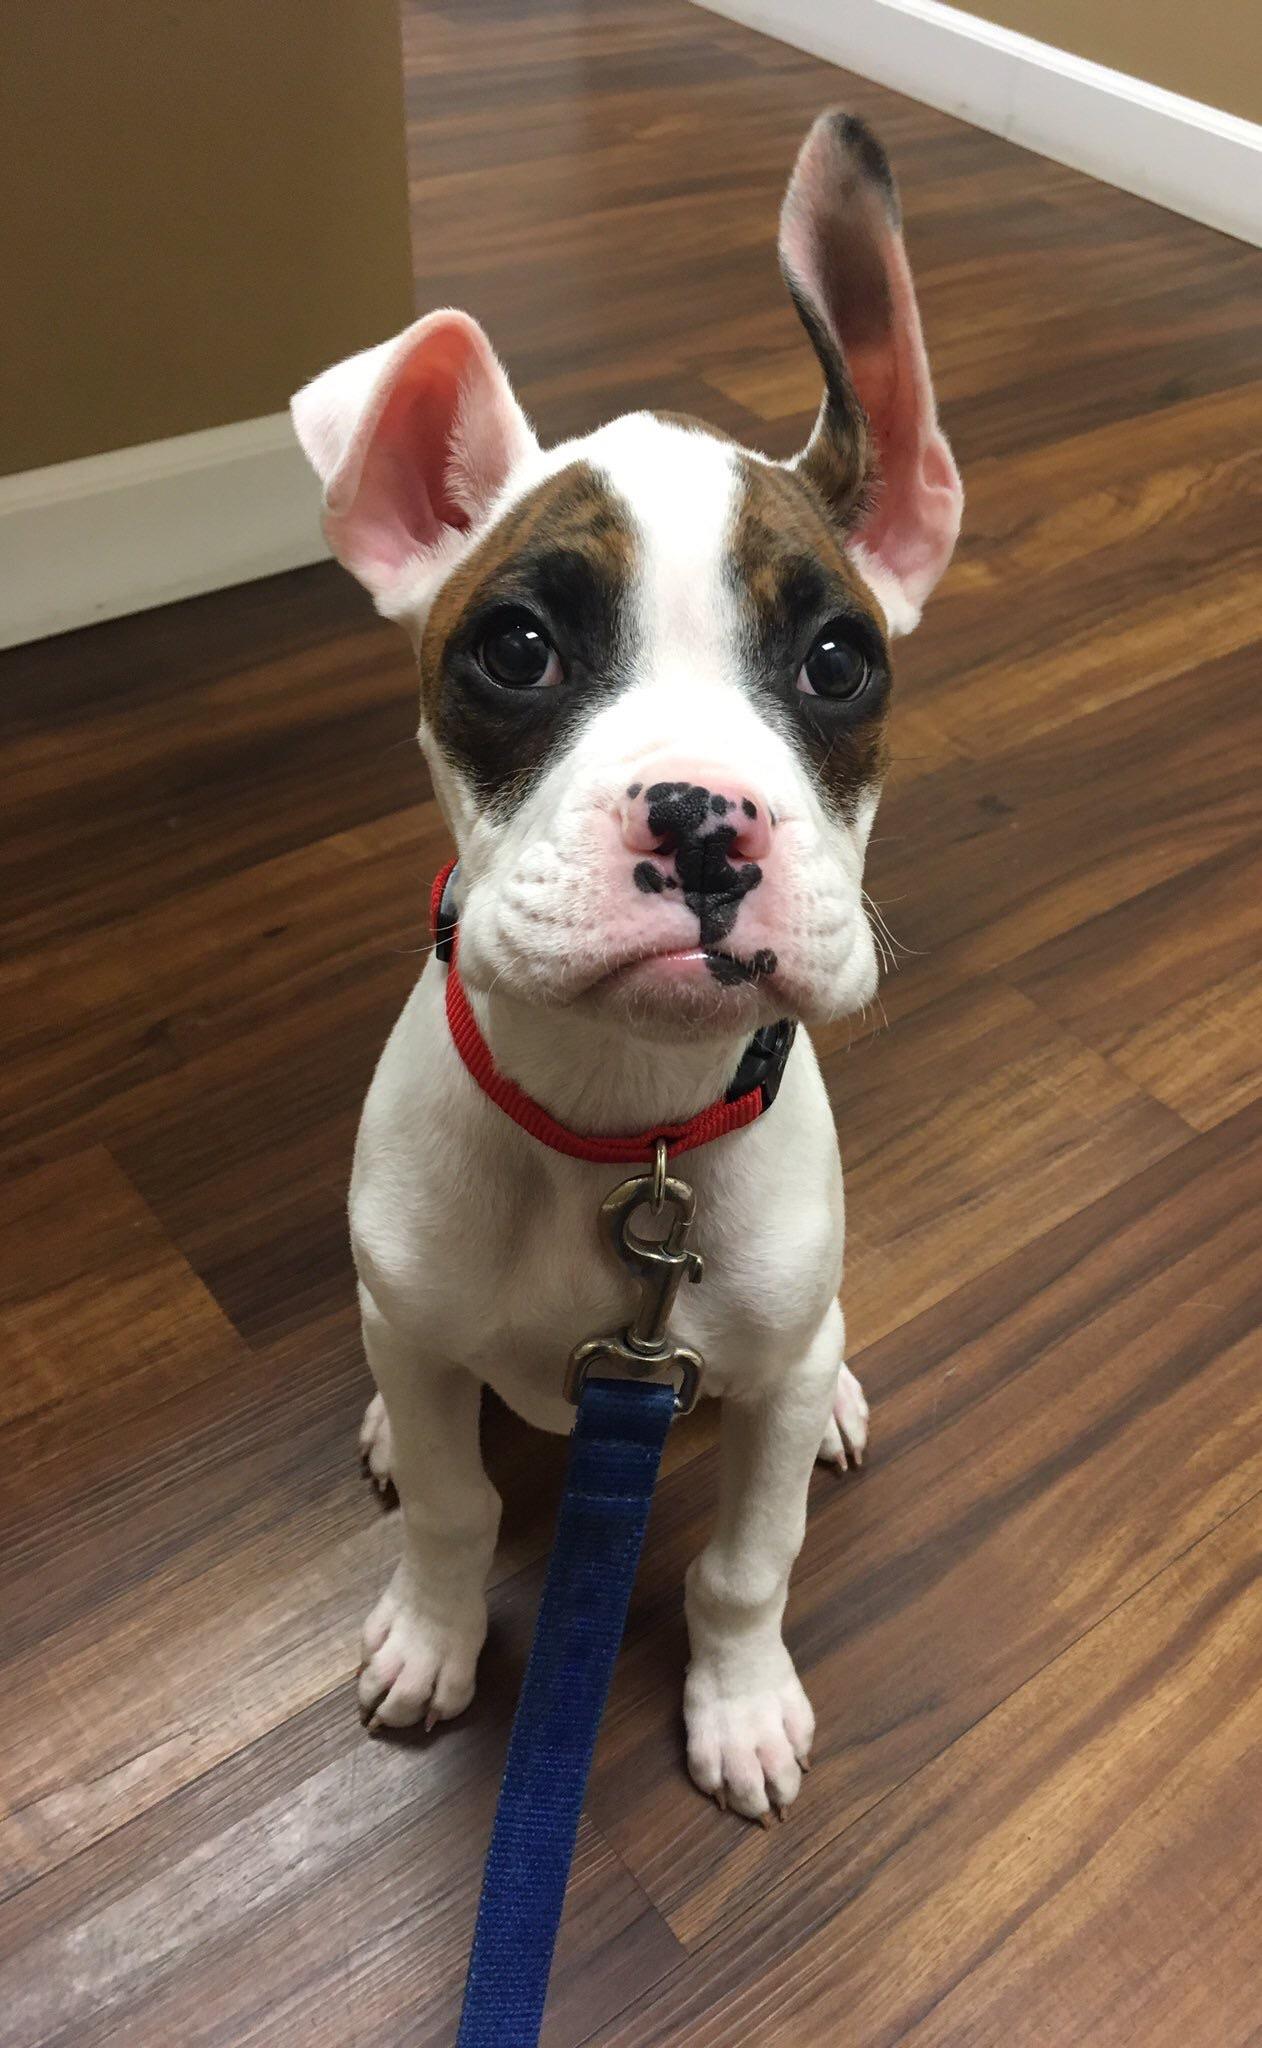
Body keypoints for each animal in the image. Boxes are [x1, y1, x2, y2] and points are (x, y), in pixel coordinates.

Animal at [292, 108, 966, 1826]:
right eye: (515, 649)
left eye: (837, 661)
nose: (702, 823)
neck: (617, 1120)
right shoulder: (421, 1327)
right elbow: (454, 1508)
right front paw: (431, 1632)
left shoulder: (760, 1391)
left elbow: (742, 1564)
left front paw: (738, 1702)